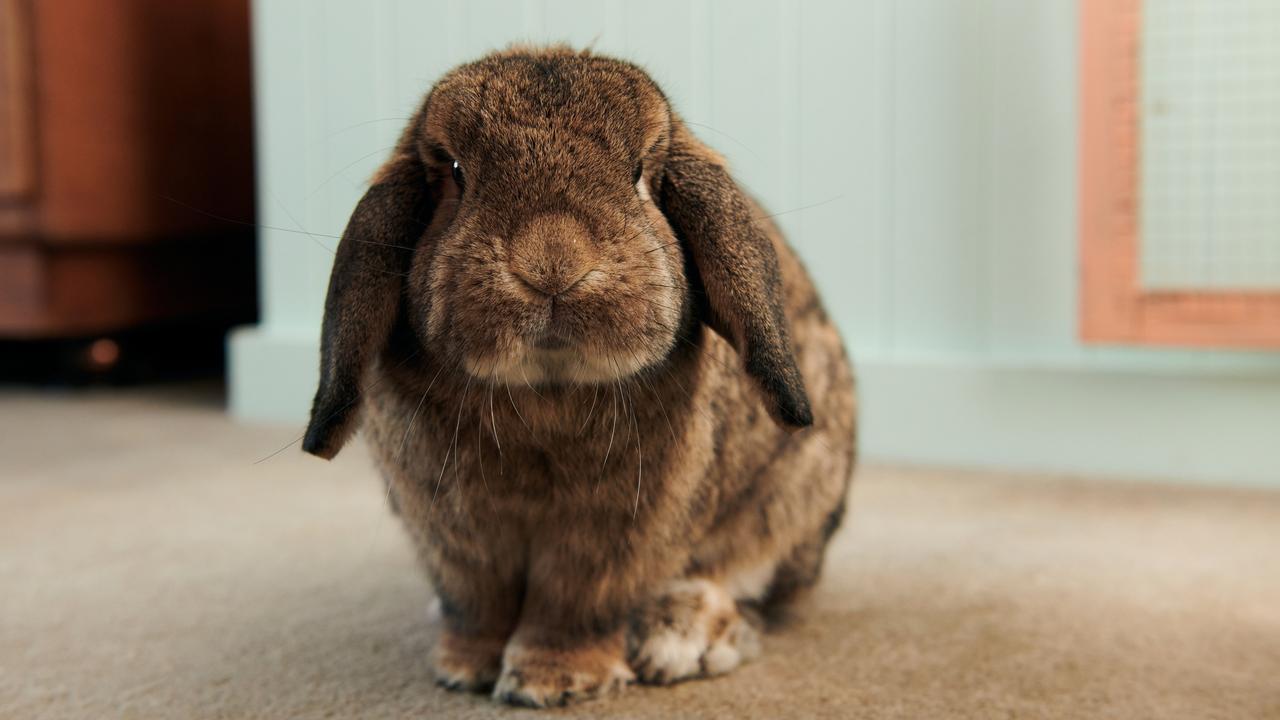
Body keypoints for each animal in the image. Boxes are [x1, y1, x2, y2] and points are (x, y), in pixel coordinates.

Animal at [303, 46, 855, 707]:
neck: (546, 391)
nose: (552, 263)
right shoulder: (453, 530)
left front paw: (553, 681)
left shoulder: (613, 534)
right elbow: (478, 604)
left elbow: (573, 605)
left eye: (641, 173)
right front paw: (465, 668)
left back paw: (679, 639)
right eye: (456, 172)